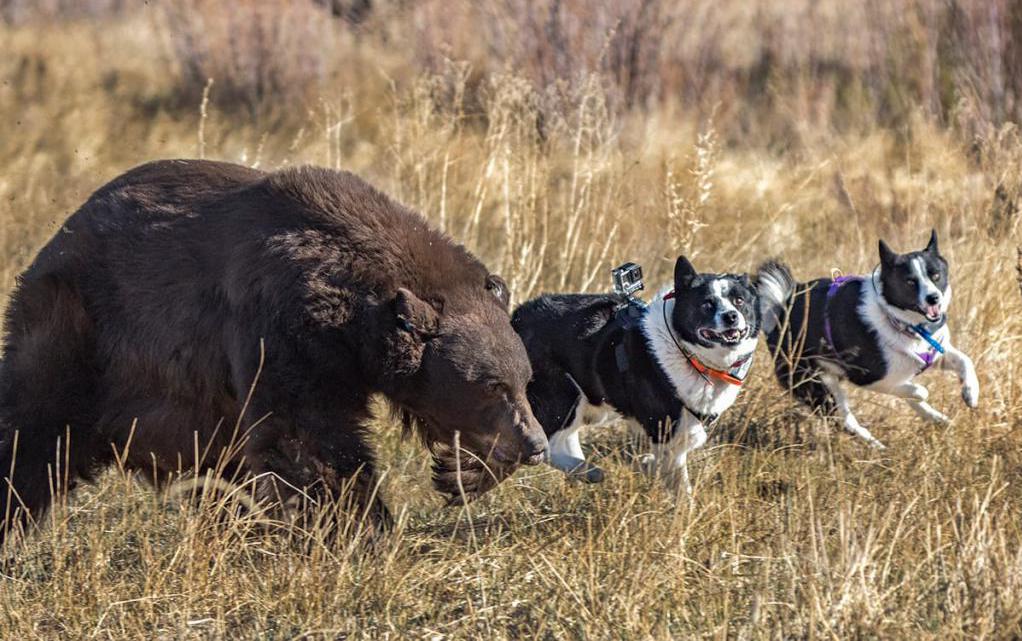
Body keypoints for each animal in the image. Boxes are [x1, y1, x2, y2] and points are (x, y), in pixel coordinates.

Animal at [0, 159, 551, 539]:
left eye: (524, 380)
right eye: (491, 384)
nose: (537, 445)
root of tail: (58, 237)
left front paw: (462, 473)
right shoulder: (283, 327)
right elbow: (307, 432)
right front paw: (360, 523)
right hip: (82, 328)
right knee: (33, 425)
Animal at [510, 256, 772, 496]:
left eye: (739, 301)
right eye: (707, 304)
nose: (731, 316)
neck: (689, 354)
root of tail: (517, 316)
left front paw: (646, 465)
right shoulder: (666, 432)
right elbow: (680, 486)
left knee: (565, 439)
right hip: (565, 395)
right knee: (547, 443)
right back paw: (590, 471)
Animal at [760, 227, 981, 449]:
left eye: (935, 275)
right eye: (910, 281)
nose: (933, 298)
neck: (900, 321)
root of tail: (781, 310)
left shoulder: (934, 353)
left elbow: (965, 361)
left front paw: (970, 392)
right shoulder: (867, 377)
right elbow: (918, 390)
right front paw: (919, 394)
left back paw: (936, 418)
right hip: (816, 384)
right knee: (845, 421)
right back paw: (877, 446)